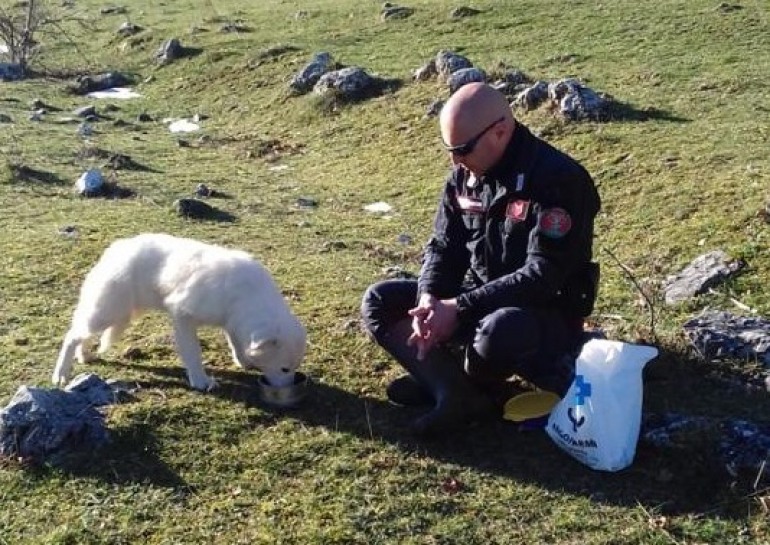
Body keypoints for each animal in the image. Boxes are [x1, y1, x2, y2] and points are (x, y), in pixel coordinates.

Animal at [51, 234, 306, 392]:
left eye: (295, 367)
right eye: (285, 368)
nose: (289, 386)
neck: (247, 295)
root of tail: (117, 248)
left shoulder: (232, 322)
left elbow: (236, 343)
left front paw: (242, 361)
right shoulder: (182, 315)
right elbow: (193, 353)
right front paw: (200, 381)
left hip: (114, 314)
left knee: (83, 335)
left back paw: (84, 356)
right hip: (109, 312)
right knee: (72, 335)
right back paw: (61, 373)